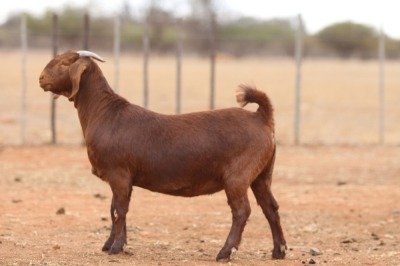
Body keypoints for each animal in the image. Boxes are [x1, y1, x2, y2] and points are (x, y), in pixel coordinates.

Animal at [39, 50, 286, 262]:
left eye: (64, 63)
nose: (41, 79)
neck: (105, 113)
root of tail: (261, 117)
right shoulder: (122, 178)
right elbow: (114, 209)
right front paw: (111, 244)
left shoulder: (118, 174)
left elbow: (119, 210)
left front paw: (116, 247)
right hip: (262, 175)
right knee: (270, 207)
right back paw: (279, 250)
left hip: (238, 176)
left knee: (242, 211)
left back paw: (225, 252)